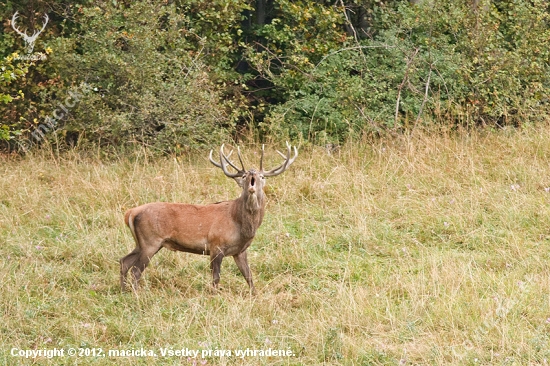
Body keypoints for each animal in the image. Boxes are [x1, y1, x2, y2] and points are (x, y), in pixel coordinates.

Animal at [119, 143, 298, 294]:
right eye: (245, 176)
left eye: (262, 176)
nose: (253, 172)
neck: (241, 225)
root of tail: (130, 212)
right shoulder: (215, 245)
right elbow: (216, 277)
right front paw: (214, 296)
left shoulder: (240, 250)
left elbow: (248, 275)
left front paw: (254, 295)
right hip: (151, 240)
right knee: (135, 270)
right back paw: (136, 294)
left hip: (142, 243)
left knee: (124, 261)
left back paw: (124, 291)